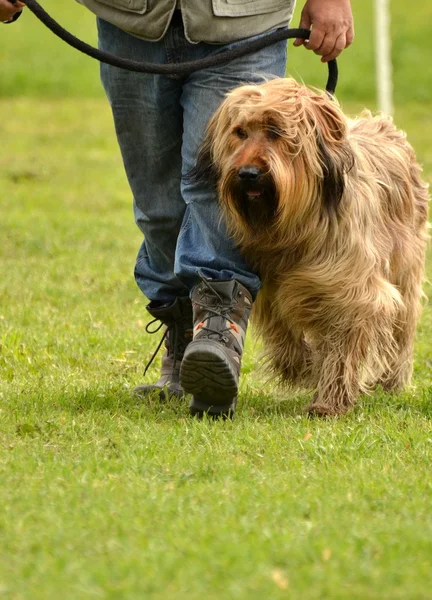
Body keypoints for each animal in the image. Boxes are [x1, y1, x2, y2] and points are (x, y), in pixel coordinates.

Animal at [195, 78, 428, 418]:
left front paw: (328, 401)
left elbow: (344, 344)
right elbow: (284, 336)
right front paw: (307, 368)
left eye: (276, 132)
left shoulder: (352, 288)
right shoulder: (273, 289)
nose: (248, 174)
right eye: (240, 132)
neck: (296, 227)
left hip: (406, 266)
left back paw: (391, 380)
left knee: (402, 329)